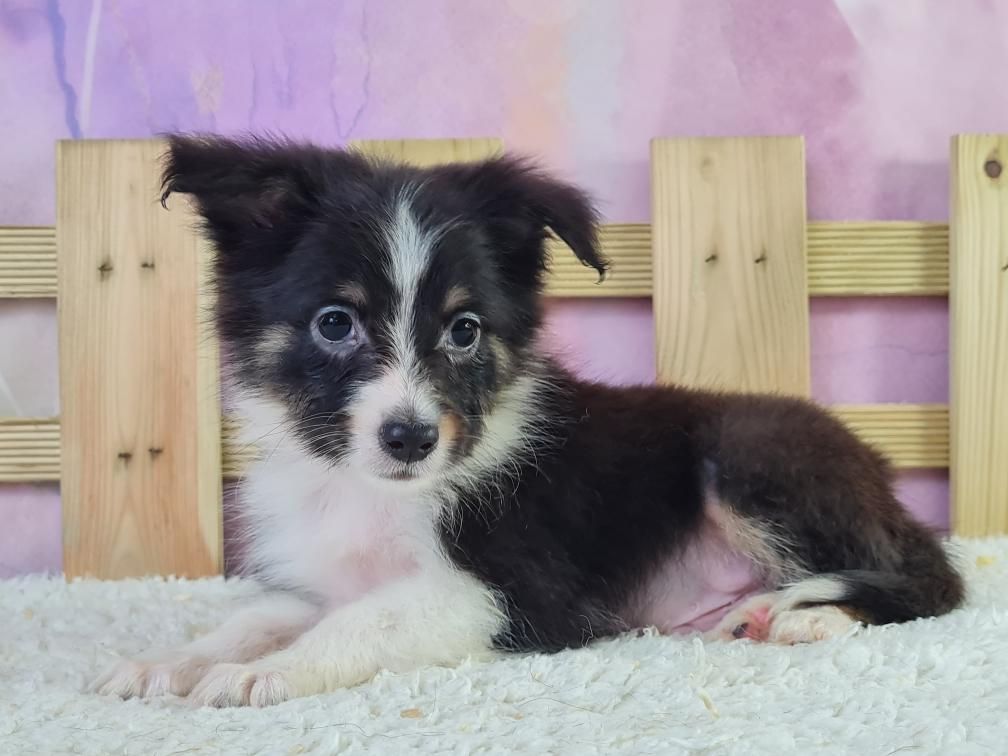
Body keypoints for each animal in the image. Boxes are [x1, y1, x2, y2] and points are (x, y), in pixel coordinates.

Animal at [92, 136, 959, 709]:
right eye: (335, 322)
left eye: (464, 329)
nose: (411, 439)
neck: (376, 491)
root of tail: (878, 474)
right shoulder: (328, 575)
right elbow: (261, 613)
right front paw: (170, 660)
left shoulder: (511, 592)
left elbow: (371, 619)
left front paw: (257, 674)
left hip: (753, 451)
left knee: (933, 580)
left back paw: (809, 620)